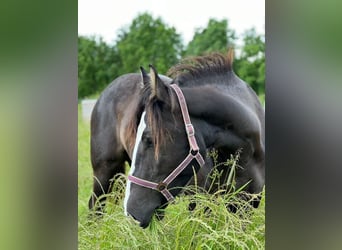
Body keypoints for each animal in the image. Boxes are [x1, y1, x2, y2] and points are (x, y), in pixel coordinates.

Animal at [88, 50, 264, 229]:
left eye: (149, 139)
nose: (131, 212)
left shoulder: (245, 206)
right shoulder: (200, 203)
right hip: (104, 172)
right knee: (95, 206)